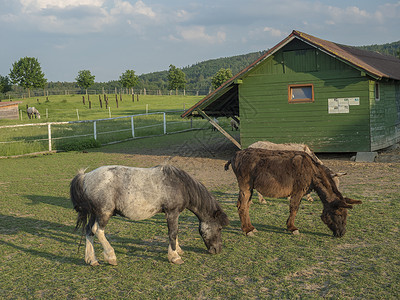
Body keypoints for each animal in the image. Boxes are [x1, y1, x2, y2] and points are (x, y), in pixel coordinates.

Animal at [70, 164, 230, 264]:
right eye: (220, 228)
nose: (217, 250)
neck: (180, 184)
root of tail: (86, 176)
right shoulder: (172, 213)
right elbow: (173, 233)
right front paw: (174, 256)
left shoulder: (174, 214)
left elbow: (175, 232)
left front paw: (178, 250)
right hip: (104, 213)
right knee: (98, 230)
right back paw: (111, 256)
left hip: (94, 213)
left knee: (89, 231)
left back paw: (92, 259)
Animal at [225, 148, 362, 237]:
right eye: (338, 214)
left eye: (346, 215)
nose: (342, 234)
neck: (312, 172)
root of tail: (236, 154)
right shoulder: (298, 191)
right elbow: (294, 209)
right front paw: (292, 228)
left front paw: (289, 226)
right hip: (245, 186)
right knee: (242, 206)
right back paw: (247, 230)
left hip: (250, 187)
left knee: (246, 205)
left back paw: (250, 227)